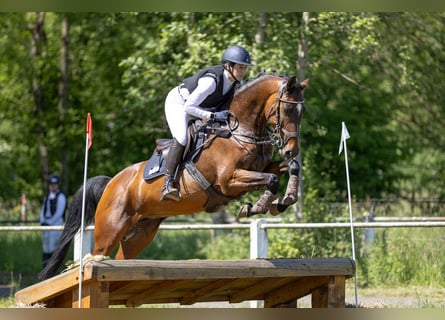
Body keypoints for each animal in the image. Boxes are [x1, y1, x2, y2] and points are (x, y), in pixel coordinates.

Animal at [39, 74, 306, 278]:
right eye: (288, 108)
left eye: (301, 111)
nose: (291, 149)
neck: (239, 130)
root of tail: (110, 184)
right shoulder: (229, 181)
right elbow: (270, 180)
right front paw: (257, 207)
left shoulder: (263, 166)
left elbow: (290, 168)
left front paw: (285, 200)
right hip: (109, 230)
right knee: (95, 255)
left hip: (139, 234)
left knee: (122, 258)